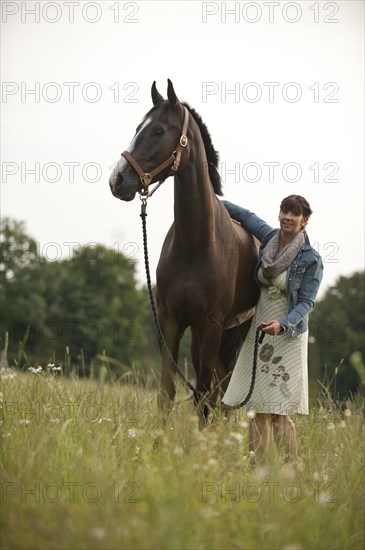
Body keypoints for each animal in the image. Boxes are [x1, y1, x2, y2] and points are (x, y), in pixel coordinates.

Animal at [109, 80, 258, 418]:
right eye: (138, 128)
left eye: (158, 131)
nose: (117, 180)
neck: (196, 245)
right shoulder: (172, 320)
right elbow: (168, 392)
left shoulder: (212, 325)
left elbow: (204, 396)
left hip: (238, 332)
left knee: (223, 393)